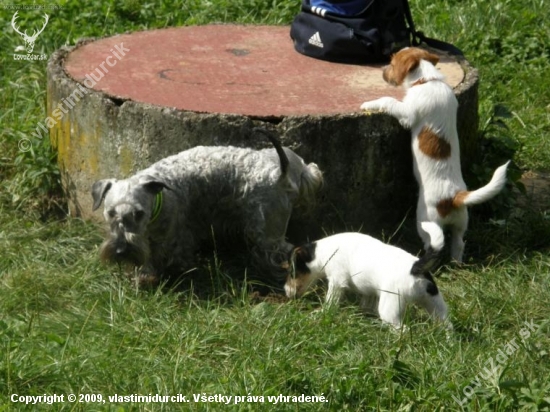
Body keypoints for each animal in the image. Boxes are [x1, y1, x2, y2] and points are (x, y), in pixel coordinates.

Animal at [90, 131, 324, 286]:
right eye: (110, 213)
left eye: (138, 214)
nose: (120, 251)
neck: (160, 198)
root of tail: (280, 174)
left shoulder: (174, 237)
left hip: (267, 232)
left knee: (283, 252)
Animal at [360, 47, 512, 260]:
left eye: (391, 63)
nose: (381, 70)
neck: (428, 79)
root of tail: (455, 197)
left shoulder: (407, 112)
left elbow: (389, 100)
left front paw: (368, 103)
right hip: (461, 222)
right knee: (459, 243)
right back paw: (457, 263)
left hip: (425, 218)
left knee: (432, 241)